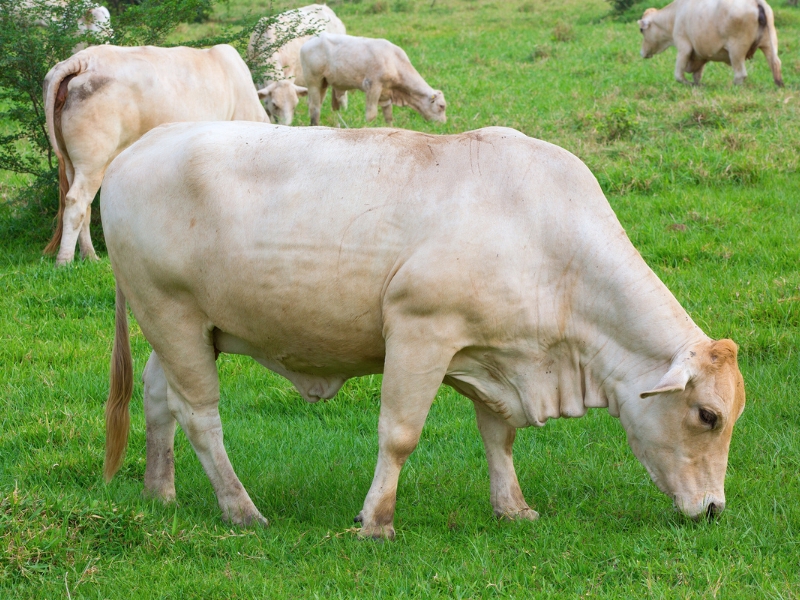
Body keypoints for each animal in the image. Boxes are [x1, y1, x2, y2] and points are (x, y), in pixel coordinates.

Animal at [103, 122, 748, 540]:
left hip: (184, 328)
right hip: (172, 314)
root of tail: (138, 147)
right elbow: (399, 435)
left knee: (159, 396)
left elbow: (499, 437)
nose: (716, 509)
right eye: (707, 416)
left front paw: (512, 508)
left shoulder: (493, 353)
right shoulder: (420, 332)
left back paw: (160, 491)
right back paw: (241, 510)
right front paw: (376, 521)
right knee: (199, 415)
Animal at [298, 33, 444, 126]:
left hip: (324, 83)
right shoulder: (373, 87)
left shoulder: (386, 94)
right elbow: (371, 115)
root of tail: (312, 39)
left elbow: (388, 117)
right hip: (313, 81)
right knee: (314, 108)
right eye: (442, 106)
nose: (443, 123)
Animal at [640, 0, 784, 86]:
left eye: (641, 30)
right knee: (775, 63)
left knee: (740, 74)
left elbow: (679, 75)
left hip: (736, 49)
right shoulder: (700, 53)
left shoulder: (684, 47)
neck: (674, 15)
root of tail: (756, 2)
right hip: (769, 43)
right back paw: (779, 84)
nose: (641, 53)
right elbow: (697, 75)